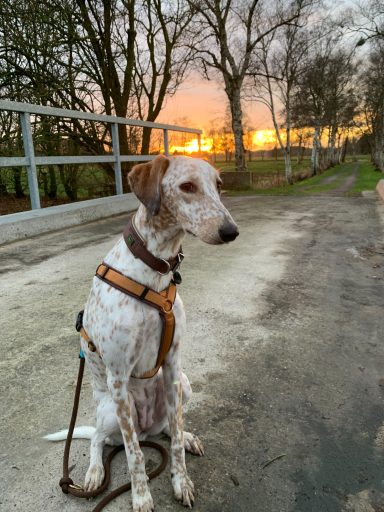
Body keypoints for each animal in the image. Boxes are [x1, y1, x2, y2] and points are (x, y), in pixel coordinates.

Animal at [46, 154, 238, 510]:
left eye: (218, 186)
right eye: (187, 186)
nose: (231, 231)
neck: (153, 271)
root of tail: (147, 428)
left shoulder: (174, 364)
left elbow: (174, 439)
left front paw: (181, 480)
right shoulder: (119, 376)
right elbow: (134, 455)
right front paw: (141, 495)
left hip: (182, 386)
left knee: (166, 430)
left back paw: (186, 438)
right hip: (111, 410)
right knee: (101, 439)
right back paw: (94, 472)